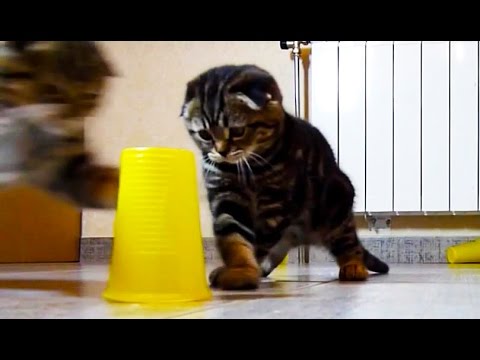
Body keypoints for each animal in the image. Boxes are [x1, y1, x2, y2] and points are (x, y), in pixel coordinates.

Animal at [181, 64, 390, 290]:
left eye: (237, 131)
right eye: (204, 134)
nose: (221, 152)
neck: (247, 168)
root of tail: (304, 236)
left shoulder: (277, 205)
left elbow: (258, 241)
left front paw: (244, 271)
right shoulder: (226, 196)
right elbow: (233, 238)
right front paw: (240, 268)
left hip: (336, 202)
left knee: (348, 240)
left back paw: (353, 265)